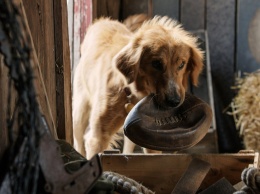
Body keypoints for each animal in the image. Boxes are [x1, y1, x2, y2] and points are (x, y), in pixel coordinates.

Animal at [72, 14, 204, 158]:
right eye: (156, 63)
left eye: (182, 64)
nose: (174, 101)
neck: (132, 92)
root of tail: (102, 21)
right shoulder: (98, 137)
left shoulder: (150, 137)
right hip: (79, 113)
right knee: (78, 142)